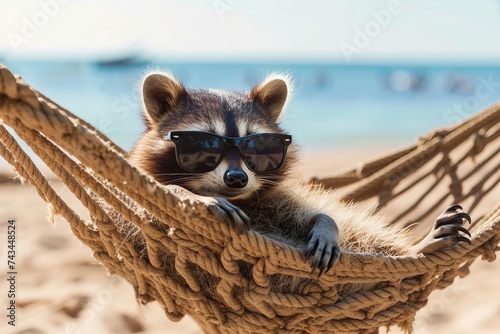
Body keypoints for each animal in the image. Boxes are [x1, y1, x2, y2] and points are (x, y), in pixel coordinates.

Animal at [128, 71, 472, 282]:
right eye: (202, 147)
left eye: (258, 146)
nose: (237, 178)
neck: (242, 201)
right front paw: (194, 197)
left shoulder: (271, 198)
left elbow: (309, 213)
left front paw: (325, 224)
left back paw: (417, 250)